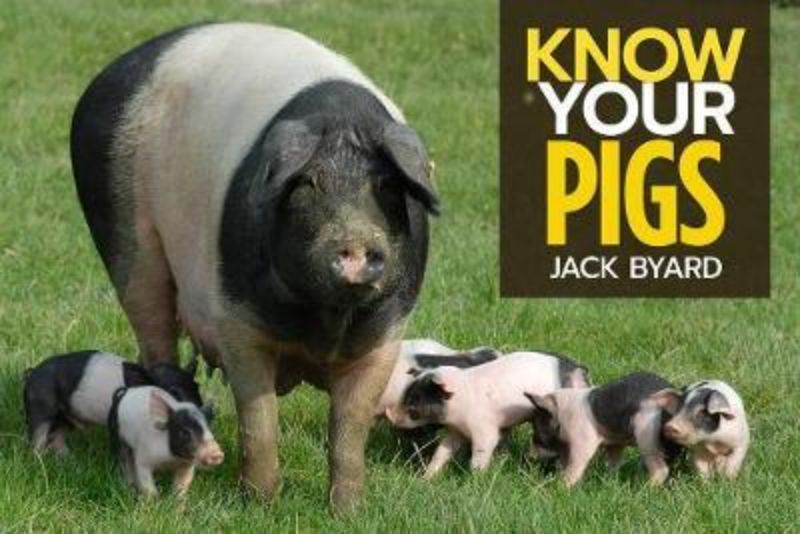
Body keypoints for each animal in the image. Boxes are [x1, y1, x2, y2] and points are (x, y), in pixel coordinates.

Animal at [23, 350, 205, 455]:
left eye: (197, 387)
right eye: (174, 392)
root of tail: (31, 373)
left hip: (67, 417)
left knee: (57, 436)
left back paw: (67, 460)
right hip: (40, 408)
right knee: (38, 436)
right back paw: (38, 461)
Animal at [70, 22, 437, 511]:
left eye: (386, 185)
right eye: (307, 184)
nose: (357, 243)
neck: (323, 322)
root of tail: (116, 66)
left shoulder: (385, 334)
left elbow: (350, 428)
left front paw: (347, 512)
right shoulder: (236, 318)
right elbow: (258, 418)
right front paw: (261, 504)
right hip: (123, 234)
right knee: (154, 334)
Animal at [385, 351, 589, 479]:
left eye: (414, 401)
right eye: (406, 394)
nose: (390, 416)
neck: (459, 403)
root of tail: (578, 370)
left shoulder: (485, 429)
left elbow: (482, 452)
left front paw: (474, 480)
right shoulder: (456, 431)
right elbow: (442, 452)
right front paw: (425, 479)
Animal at [526, 371, 682, 488]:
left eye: (539, 431)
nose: (530, 457)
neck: (562, 411)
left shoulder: (581, 445)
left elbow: (574, 466)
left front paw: (561, 487)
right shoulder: (615, 443)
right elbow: (613, 463)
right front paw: (609, 481)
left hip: (646, 436)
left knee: (659, 468)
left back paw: (645, 489)